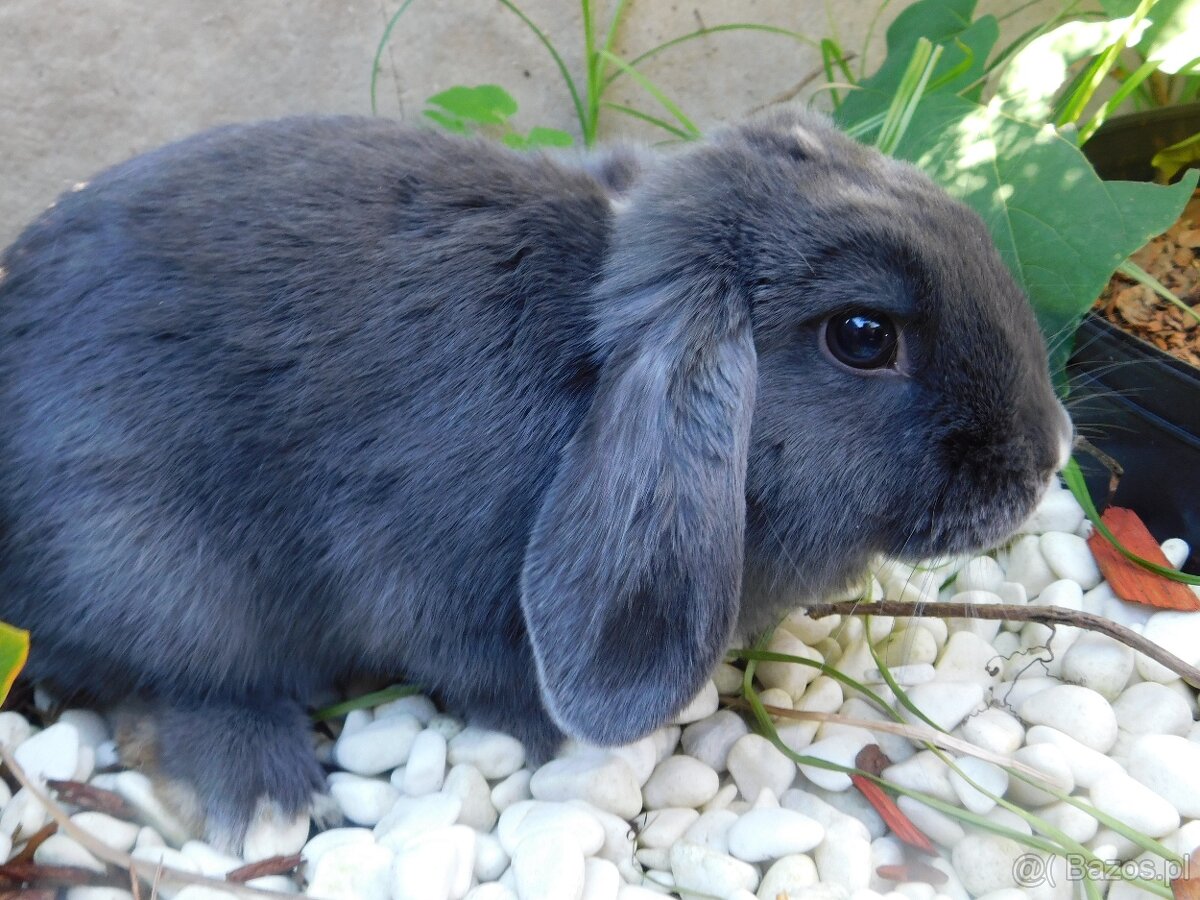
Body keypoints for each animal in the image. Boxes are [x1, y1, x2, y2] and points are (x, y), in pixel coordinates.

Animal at [0, 107, 1070, 844]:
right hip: (152, 565)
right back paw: (260, 795)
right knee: (170, 682)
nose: (1050, 454)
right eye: (862, 335)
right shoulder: (425, 583)